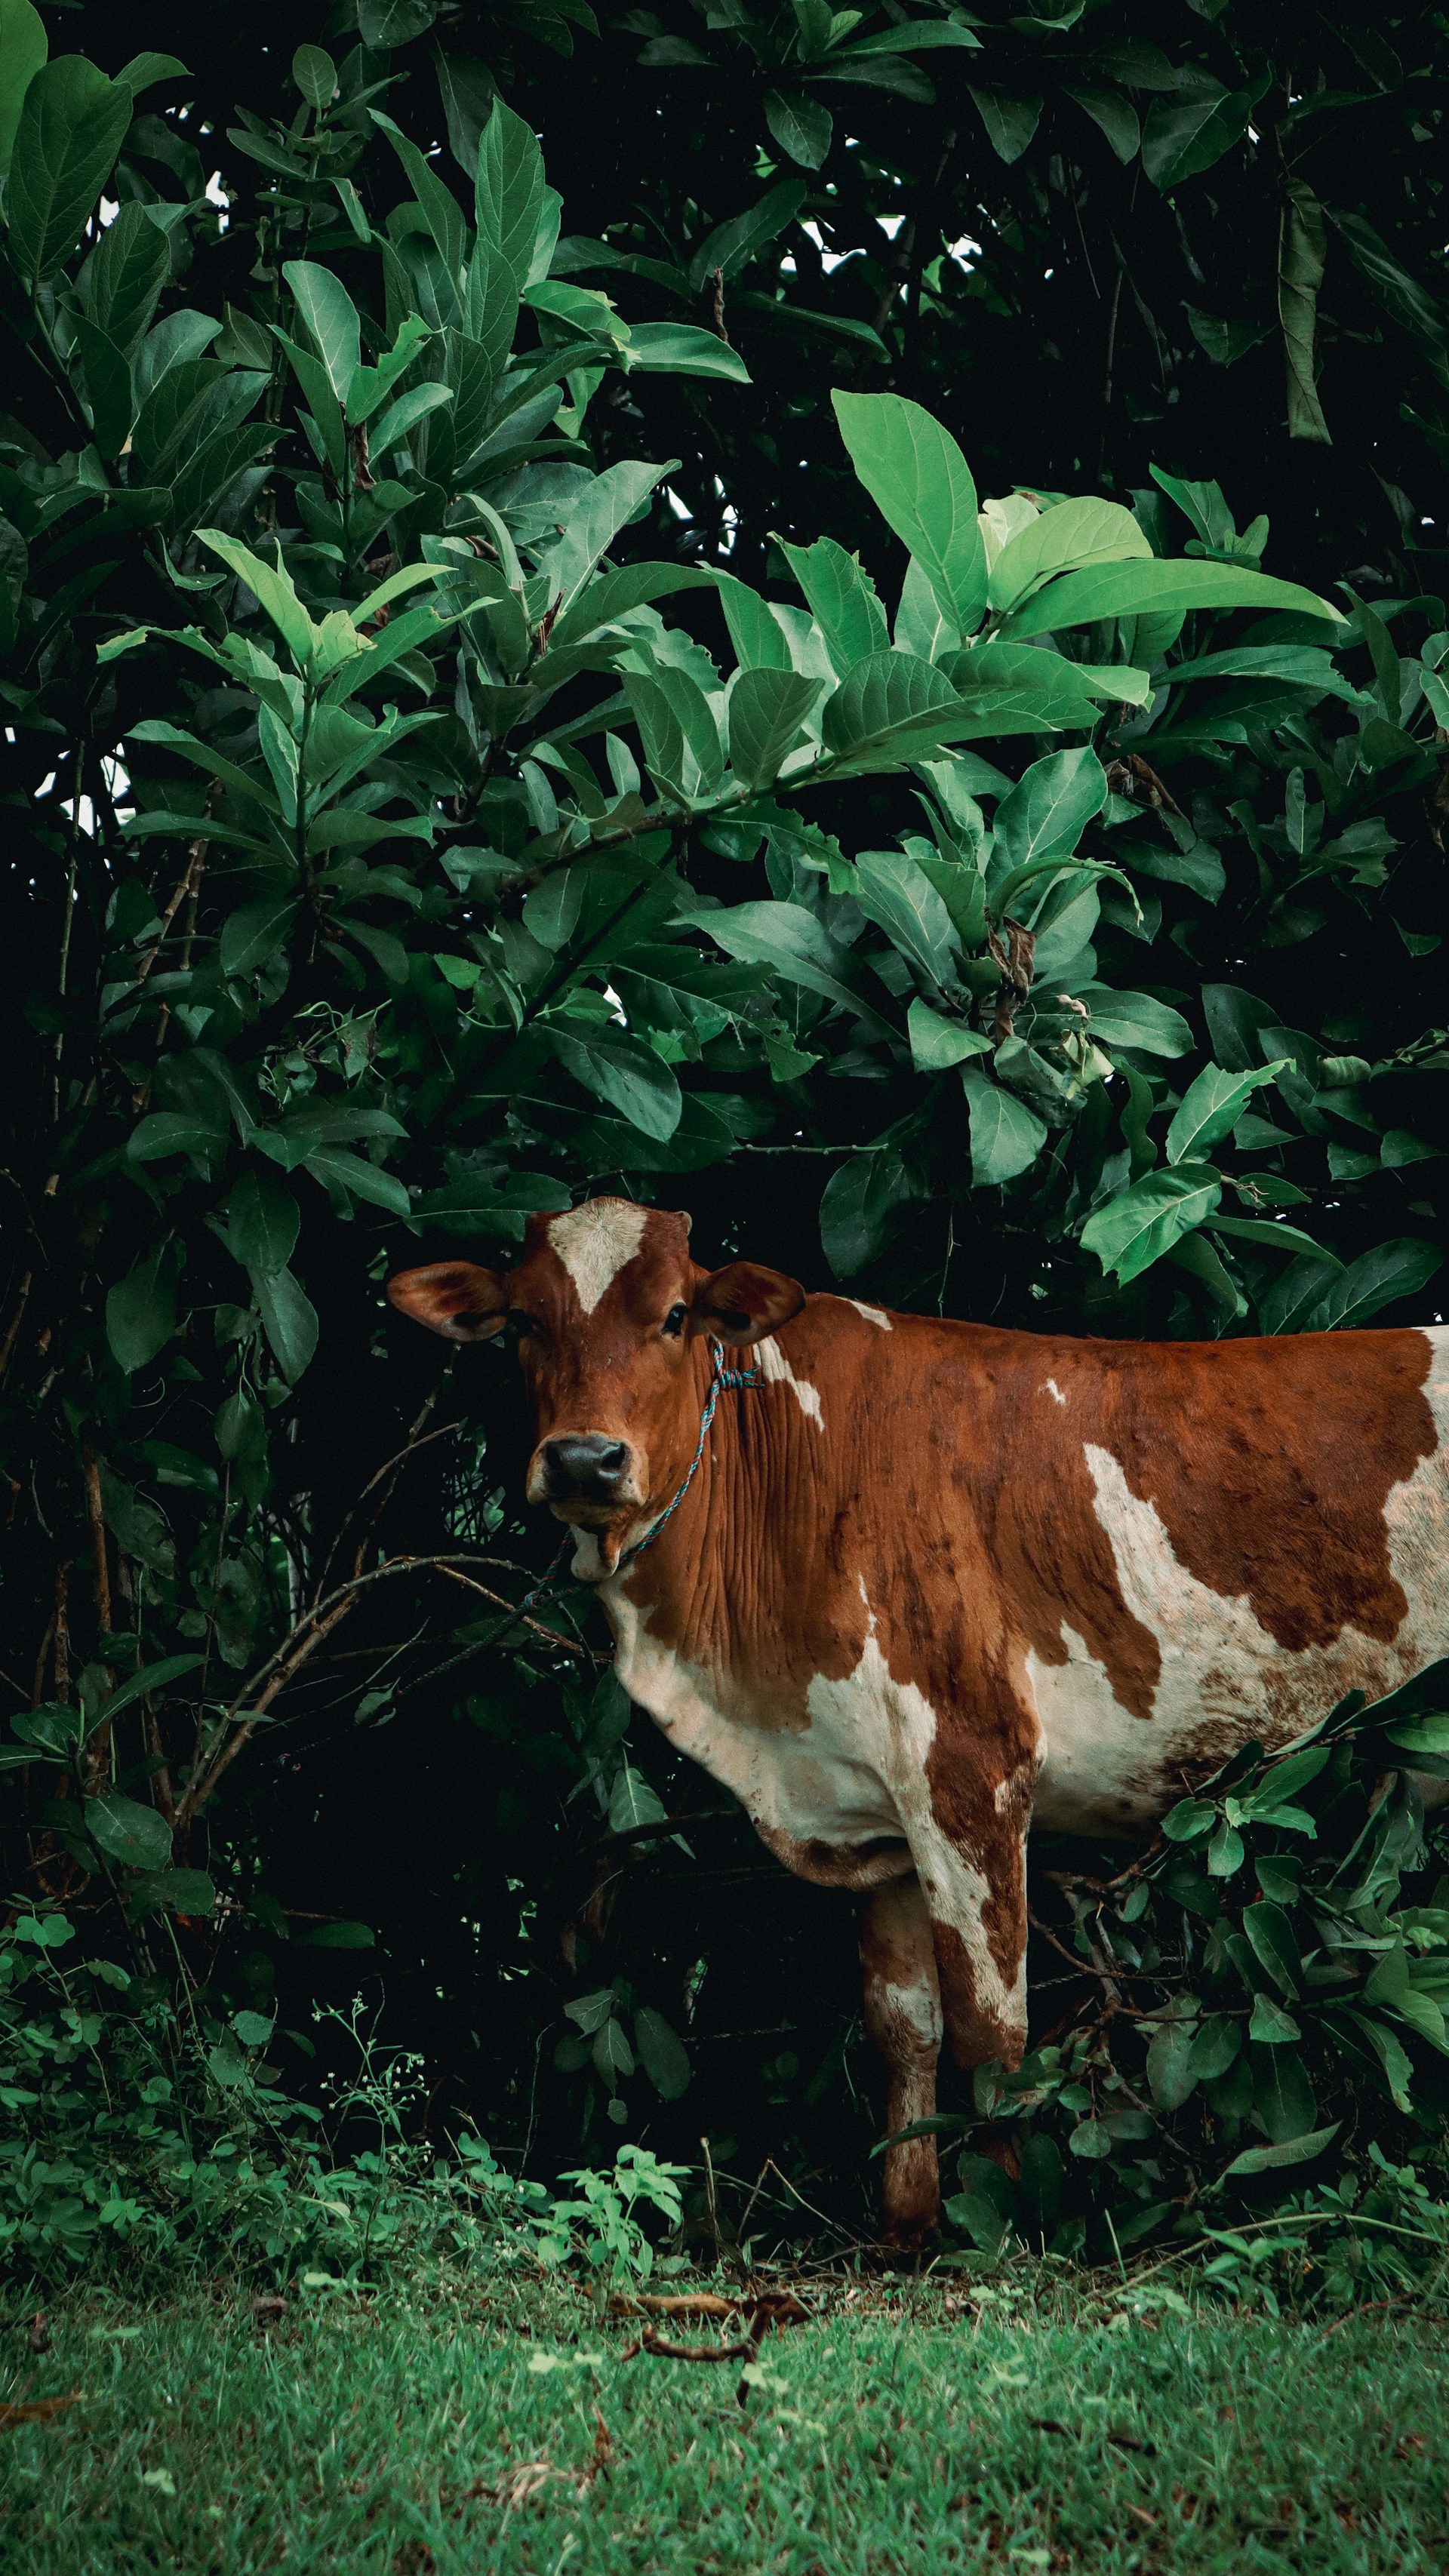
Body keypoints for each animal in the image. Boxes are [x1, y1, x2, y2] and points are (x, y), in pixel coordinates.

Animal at [387, 1195, 1449, 2238]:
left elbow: (994, 2037)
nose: (582, 1460)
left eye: (677, 1316)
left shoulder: (970, 1765)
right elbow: (904, 2026)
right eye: (522, 1323)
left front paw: (1010, 2218)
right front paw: (910, 2223)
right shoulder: (872, 1807)